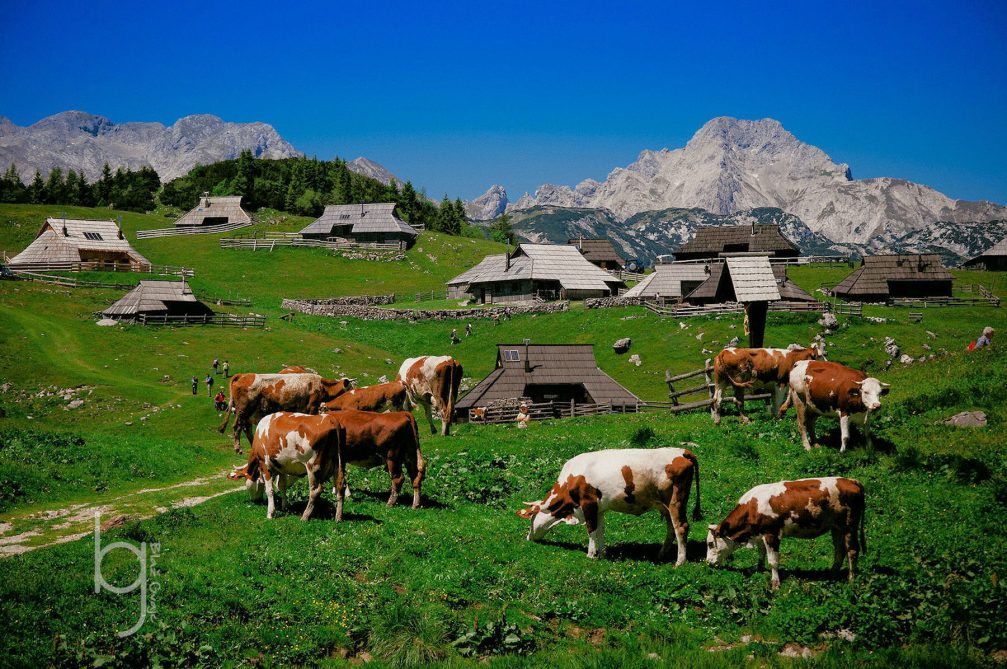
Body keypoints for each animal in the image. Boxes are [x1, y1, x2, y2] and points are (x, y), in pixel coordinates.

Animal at [218, 370, 352, 455]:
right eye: (350, 387)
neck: (322, 386)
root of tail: (243, 375)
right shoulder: (312, 406)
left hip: (249, 413)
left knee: (246, 429)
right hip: (243, 410)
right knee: (237, 427)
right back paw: (238, 448)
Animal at [519, 449, 700, 564]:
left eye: (531, 519)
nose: (528, 537)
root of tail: (682, 451)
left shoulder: (588, 503)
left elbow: (591, 530)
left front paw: (591, 555)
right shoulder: (599, 508)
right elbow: (600, 530)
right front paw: (602, 553)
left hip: (675, 501)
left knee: (681, 527)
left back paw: (680, 562)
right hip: (666, 506)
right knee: (671, 529)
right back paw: (662, 554)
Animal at [708, 475, 866, 592]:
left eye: (710, 544)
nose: (708, 562)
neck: (752, 506)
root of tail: (851, 481)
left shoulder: (772, 534)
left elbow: (773, 561)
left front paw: (775, 584)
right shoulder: (761, 534)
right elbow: (761, 553)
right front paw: (760, 569)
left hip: (849, 525)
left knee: (852, 550)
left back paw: (851, 580)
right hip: (836, 527)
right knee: (839, 550)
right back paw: (831, 574)